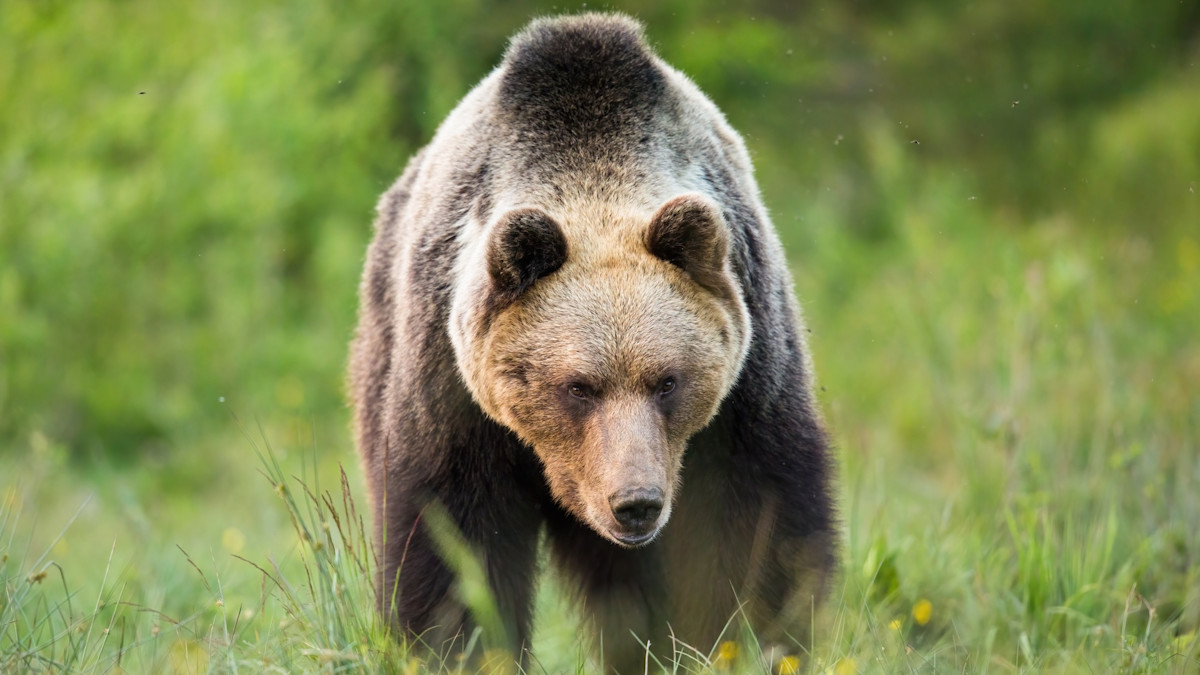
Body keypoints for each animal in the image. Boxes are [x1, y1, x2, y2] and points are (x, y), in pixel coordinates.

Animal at [349, 13, 836, 673]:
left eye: (668, 381)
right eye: (578, 386)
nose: (636, 503)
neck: (592, 173)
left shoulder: (748, 375)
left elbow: (760, 518)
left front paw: (761, 639)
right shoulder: (450, 386)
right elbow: (452, 537)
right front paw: (455, 646)